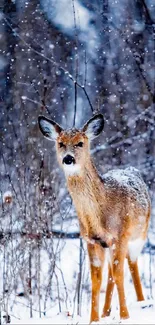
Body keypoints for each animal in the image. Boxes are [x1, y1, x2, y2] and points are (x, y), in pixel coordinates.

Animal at [37, 113, 150, 322]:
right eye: (60, 143)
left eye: (80, 143)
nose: (68, 158)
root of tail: (132, 169)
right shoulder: (91, 240)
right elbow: (96, 279)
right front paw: (94, 319)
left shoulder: (120, 235)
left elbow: (120, 273)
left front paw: (125, 316)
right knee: (111, 272)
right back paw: (106, 312)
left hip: (140, 234)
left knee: (131, 264)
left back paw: (141, 302)